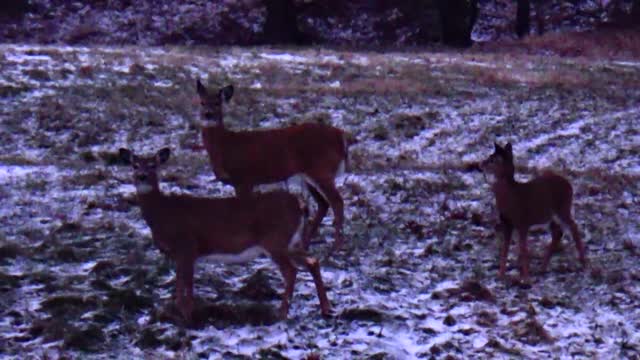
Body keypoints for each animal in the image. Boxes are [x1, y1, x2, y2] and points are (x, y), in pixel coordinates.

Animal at [117, 148, 332, 322]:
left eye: (153, 165)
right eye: (134, 165)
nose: (142, 176)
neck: (163, 213)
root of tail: (300, 205)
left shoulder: (187, 246)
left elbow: (186, 288)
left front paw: (188, 318)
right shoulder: (180, 254)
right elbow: (181, 287)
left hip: (275, 240)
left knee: (291, 271)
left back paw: (282, 313)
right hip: (292, 242)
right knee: (313, 261)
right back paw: (325, 309)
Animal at [196, 79, 356, 253]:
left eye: (217, 103)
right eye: (201, 102)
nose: (207, 114)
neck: (226, 146)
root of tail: (341, 137)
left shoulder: (244, 179)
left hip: (321, 170)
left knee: (337, 202)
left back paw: (336, 246)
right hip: (308, 175)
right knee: (323, 204)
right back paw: (305, 244)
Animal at [480, 143, 592, 282]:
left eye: (492, 159)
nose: (481, 164)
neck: (510, 195)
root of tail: (569, 185)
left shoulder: (522, 222)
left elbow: (523, 249)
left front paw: (526, 277)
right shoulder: (507, 223)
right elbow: (505, 249)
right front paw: (501, 275)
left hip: (562, 208)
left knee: (573, 226)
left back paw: (583, 263)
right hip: (549, 215)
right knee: (558, 232)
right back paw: (542, 268)